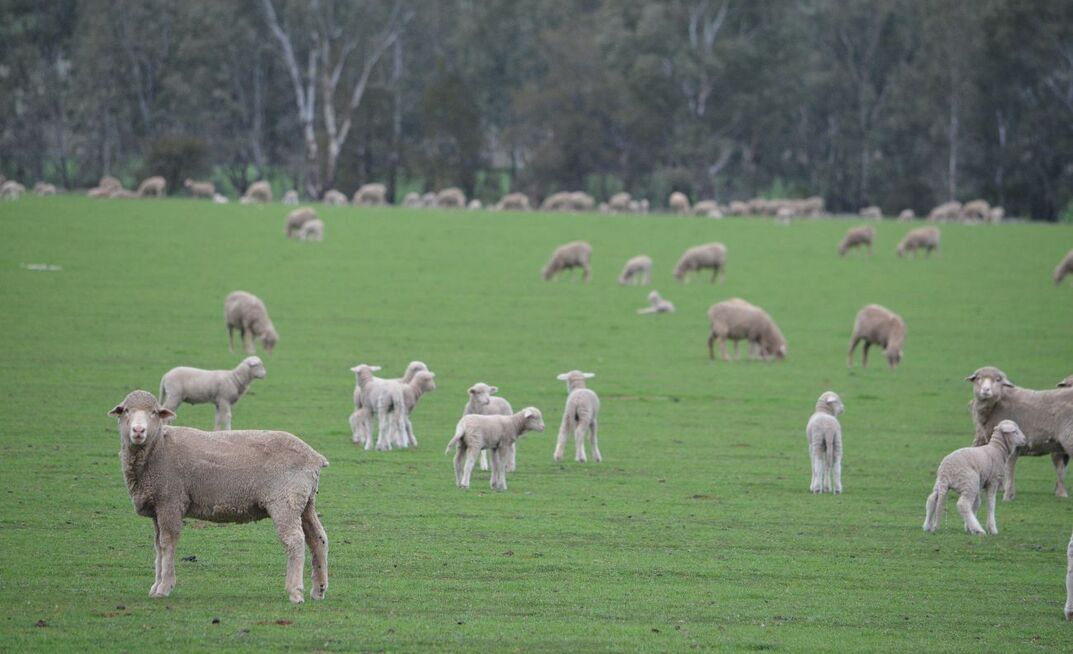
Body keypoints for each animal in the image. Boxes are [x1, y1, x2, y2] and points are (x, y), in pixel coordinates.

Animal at [107, 390, 328, 603]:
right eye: (125, 410)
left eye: (154, 412)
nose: (138, 431)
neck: (157, 447)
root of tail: (314, 457)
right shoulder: (157, 507)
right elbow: (158, 546)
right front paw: (156, 586)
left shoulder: (170, 501)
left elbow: (167, 543)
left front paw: (164, 588)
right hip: (305, 502)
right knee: (318, 539)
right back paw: (318, 590)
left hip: (285, 501)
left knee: (295, 540)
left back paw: (295, 591)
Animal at [966, 366, 1073, 500]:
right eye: (978, 378)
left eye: (998, 380)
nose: (986, 390)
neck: (998, 403)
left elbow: (1009, 469)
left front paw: (1007, 495)